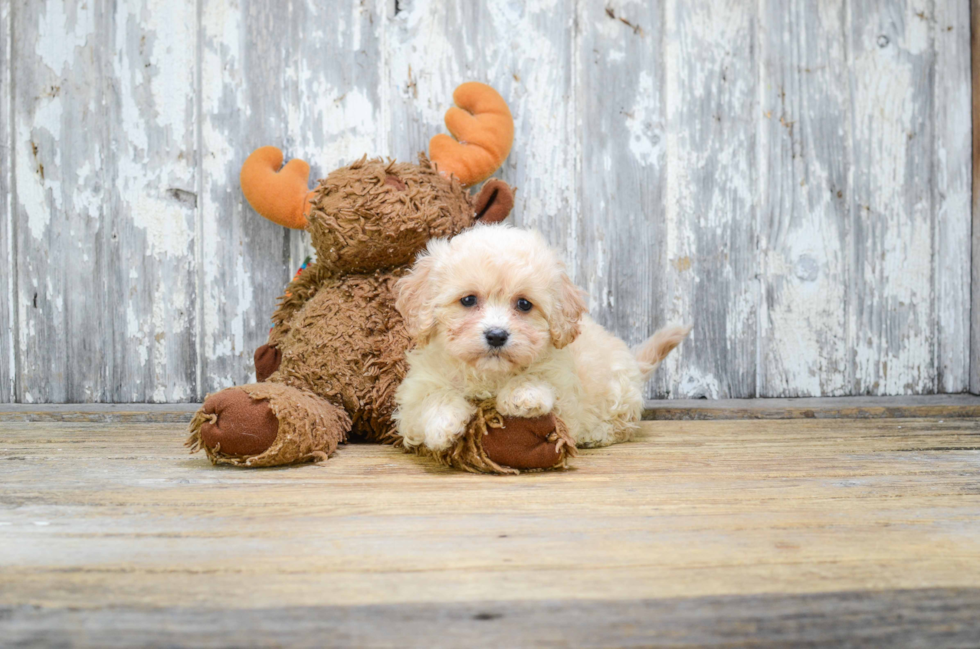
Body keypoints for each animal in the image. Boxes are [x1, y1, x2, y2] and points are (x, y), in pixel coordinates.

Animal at [392, 225, 688, 454]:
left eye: (524, 304)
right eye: (468, 300)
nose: (496, 335)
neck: (490, 376)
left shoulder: (564, 392)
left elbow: (541, 380)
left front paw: (524, 394)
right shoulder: (412, 399)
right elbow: (433, 397)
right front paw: (443, 424)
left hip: (618, 391)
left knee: (622, 425)